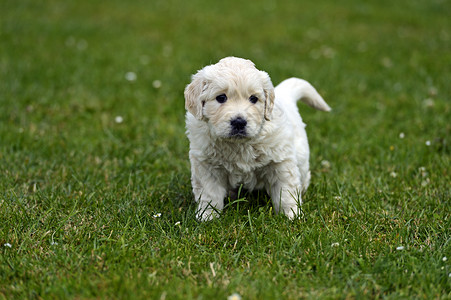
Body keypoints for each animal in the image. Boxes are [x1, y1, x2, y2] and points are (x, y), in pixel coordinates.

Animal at [185, 56, 330, 220]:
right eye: (221, 98)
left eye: (253, 99)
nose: (239, 122)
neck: (238, 144)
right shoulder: (207, 165)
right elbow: (210, 193)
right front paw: (207, 217)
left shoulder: (280, 162)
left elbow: (286, 191)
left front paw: (291, 215)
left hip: (301, 157)